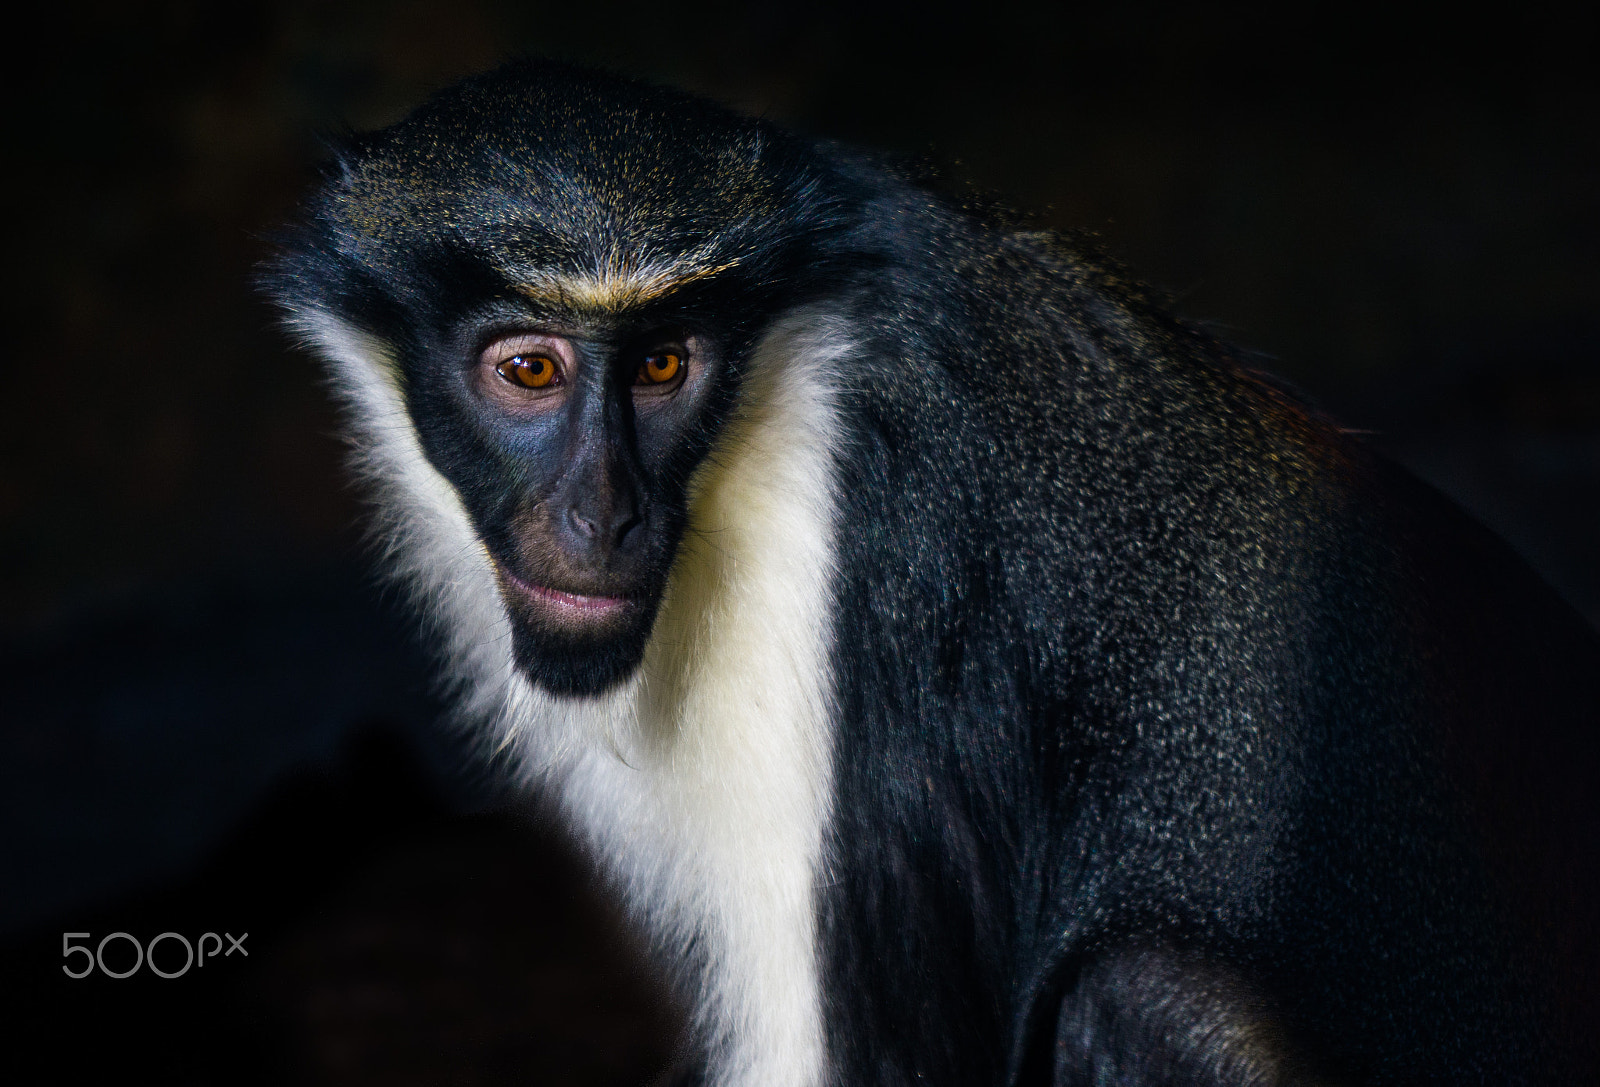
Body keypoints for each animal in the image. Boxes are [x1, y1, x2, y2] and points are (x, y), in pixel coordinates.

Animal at [264, 61, 1600, 1085]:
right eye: (531, 372)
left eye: (662, 365)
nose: (604, 515)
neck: (786, 348)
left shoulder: (885, 553)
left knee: (1144, 993)